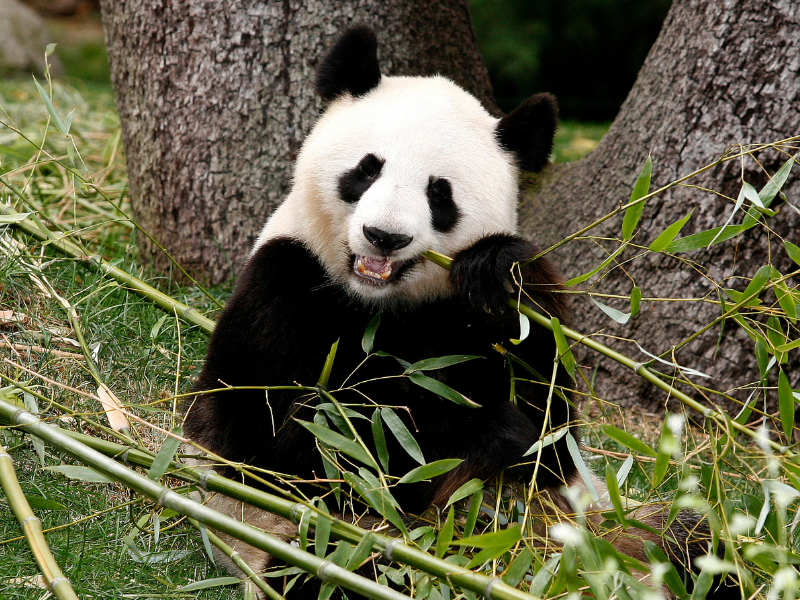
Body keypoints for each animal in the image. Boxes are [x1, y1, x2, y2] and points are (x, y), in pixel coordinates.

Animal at [185, 24, 730, 600]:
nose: (384, 236)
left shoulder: (465, 323)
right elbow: (287, 438)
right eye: (367, 169)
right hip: (315, 545)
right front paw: (480, 431)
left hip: (615, 529)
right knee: (343, 568)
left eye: (439, 193)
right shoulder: (283, 282)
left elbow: (554, 426)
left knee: (691, 537)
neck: (382, 301)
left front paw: (498, 271)